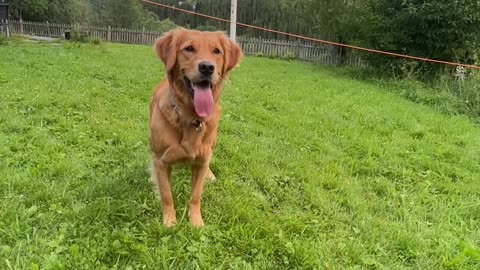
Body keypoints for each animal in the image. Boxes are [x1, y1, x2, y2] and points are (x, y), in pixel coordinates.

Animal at [148, 29, 242, 228]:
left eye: (216, 51)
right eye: (189, 48)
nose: (207, 67)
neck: (191, 117)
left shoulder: (202, 160)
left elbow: (196, 196)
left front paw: (196, 221)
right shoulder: (160, 160)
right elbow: (166, 195)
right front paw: (169, 221)